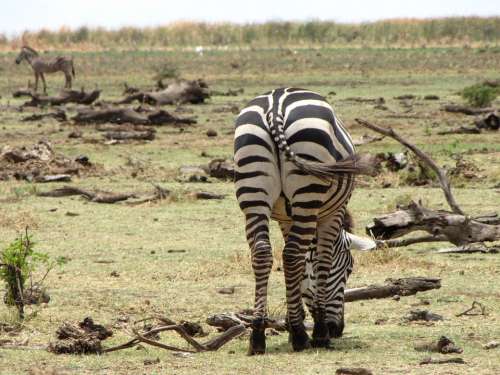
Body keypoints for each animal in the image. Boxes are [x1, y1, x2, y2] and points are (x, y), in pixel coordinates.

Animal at [233, 86, 372, 354]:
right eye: (349, 268)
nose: (337, 329)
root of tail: (276, 104)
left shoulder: (285, 218)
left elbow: (297, 265)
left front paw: (291, 323)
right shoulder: (333, 213)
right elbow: (322, 261)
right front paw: (317, 332)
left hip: (253, 189)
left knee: (265, 254)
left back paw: (258, 336)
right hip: (309, 188)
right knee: (291, 254)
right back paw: (301, 335)